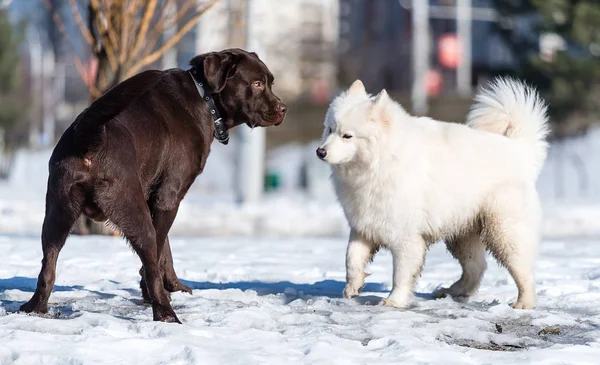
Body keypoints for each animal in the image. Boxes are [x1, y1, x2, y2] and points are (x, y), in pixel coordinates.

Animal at [19, 47, 288, 322]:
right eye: (257, 83)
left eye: (271, 82)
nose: (283, 109)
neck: (204, 97)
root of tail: (89, 138)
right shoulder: (169, 197)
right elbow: (159, 252)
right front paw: (157, 291)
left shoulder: (156, 200)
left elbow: (166, 248)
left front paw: (174, 286)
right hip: (133, 210)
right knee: (149, 254)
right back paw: (166, 314)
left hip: (56, 214)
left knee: (47, 266)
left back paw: (34, 308)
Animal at [318, 77, 548, 308]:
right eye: (330, 129)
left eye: (347, 136)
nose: (320, 152)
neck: (382, 160)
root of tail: (520, 150)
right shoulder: (364, 225)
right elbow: (351, 258)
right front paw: (352, 286)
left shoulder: (405, 236)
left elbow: (400, 274)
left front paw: (394, 301)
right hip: (462, 234)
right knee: (476, 267)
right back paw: (453, 291)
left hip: (504, 231)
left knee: (522, 271)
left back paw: (524, 303)